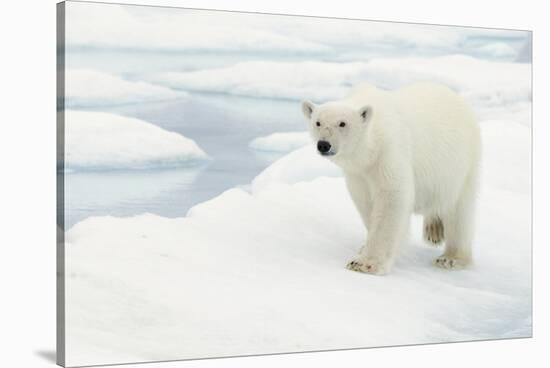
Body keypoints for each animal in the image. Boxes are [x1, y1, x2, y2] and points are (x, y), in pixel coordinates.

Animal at [304, 82, 480, 274]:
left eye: (342, 123)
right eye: (318, 122)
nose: (323, 145)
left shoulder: (389, 151)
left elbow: (392, 197)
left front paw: (365, 263)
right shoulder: (359, 173)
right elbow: (366, 202)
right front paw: (364, 248)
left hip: (460, 165)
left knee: (458, 211)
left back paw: (451, 258)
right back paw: (434, 230)